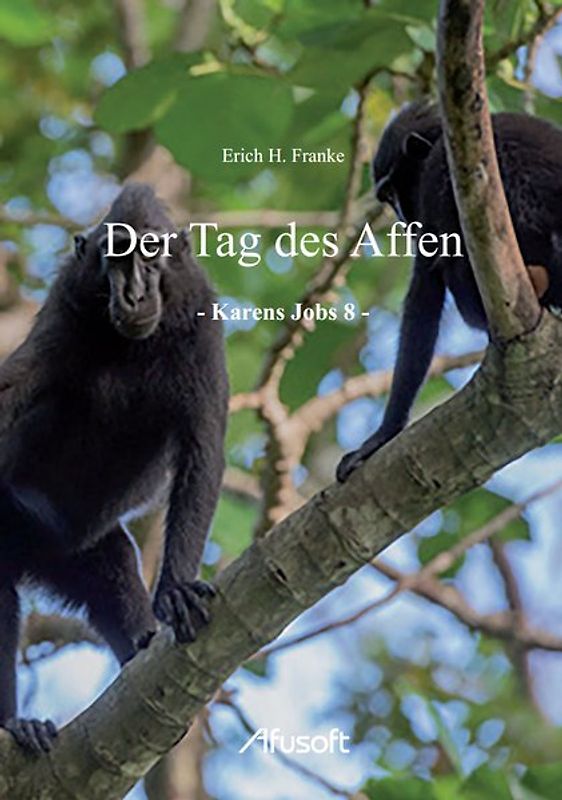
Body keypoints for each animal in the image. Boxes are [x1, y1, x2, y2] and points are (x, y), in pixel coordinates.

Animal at [0, 183, 228, 753]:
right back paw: (14, 724)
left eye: (150, 255)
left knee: (116, 567)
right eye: (116, 259)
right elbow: (12, 389)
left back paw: (141, 641)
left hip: (73, 552)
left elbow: (203, 451)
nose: (133, 295)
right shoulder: (64, 311)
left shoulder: (203, 326)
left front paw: (175, 590)